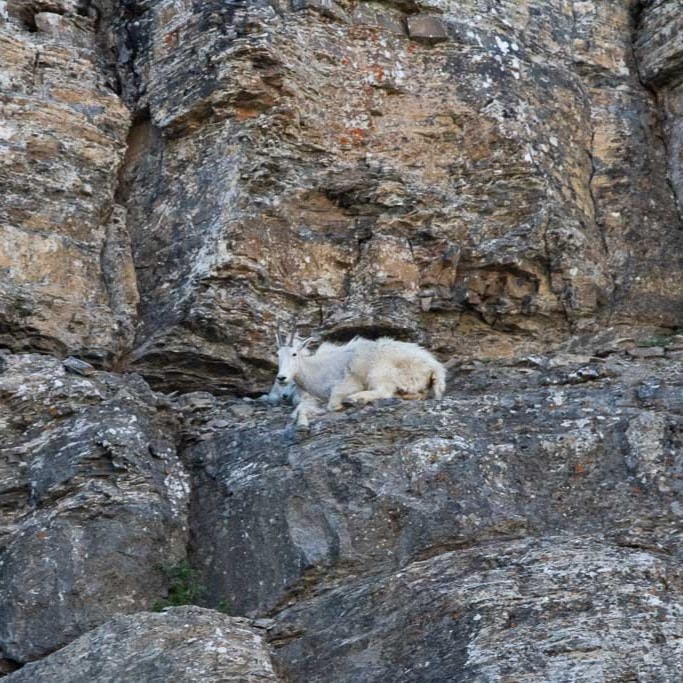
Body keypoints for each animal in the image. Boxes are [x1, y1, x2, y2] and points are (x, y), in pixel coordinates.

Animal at [276, 326, 446, 428]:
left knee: (385, 390)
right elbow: (299, 411)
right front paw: (302, 424)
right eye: (277, 354)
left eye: (294, 354)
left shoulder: (349, 382)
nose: (281, 378)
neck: (315, 370)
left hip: (380, 370)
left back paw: (356, 398)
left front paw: (341, 404)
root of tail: (435, 368)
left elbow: (333, 402)